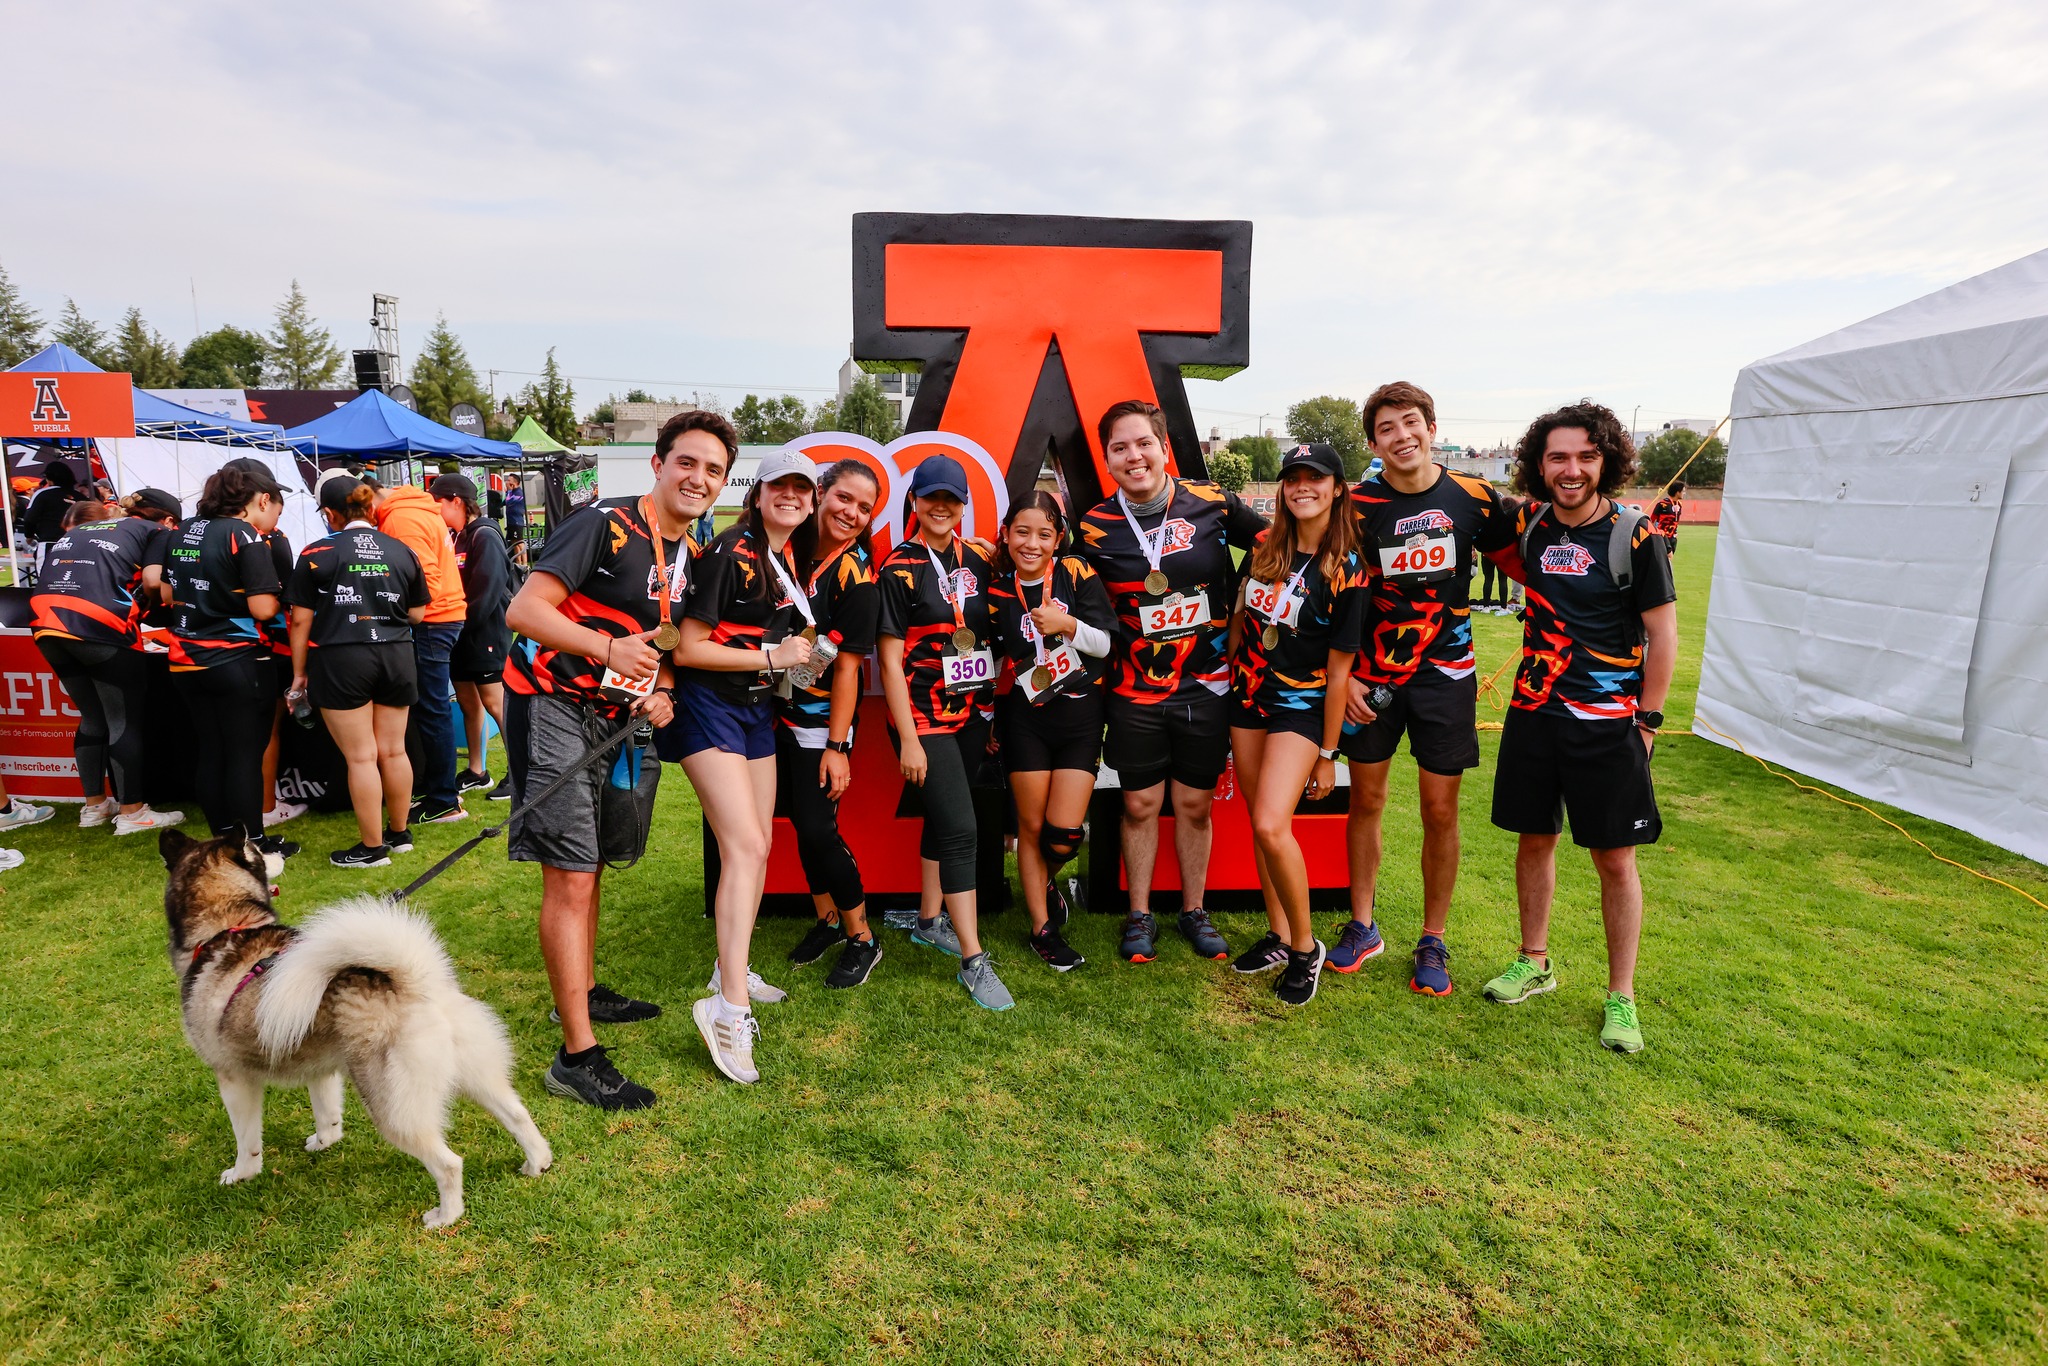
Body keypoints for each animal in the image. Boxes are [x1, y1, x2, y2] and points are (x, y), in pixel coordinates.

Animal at [160, 827, 557, 1236]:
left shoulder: (235, 1079)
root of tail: (414, 985)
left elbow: (247, 1139)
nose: (281, 853)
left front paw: (242, 1174)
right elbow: (327, 1112)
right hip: (478, 1075)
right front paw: (325, 1141)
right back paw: (537, 1162)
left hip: (393, 1107)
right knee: (517, 1115)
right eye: (259, 850)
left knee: (448, 1163)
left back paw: (445, 1216)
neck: (227, 925)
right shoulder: (320, 1069)